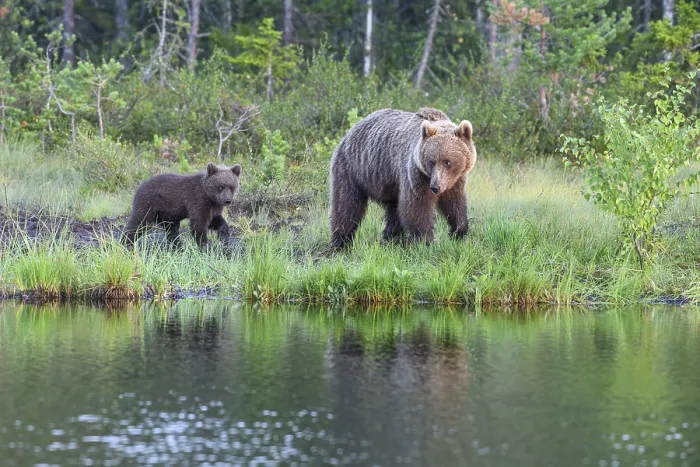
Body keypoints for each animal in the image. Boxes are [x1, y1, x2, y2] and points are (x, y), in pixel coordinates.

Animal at [329, 107, 476, 249]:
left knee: (394, 210)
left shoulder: (455, 181)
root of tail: (348, 134)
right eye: (431, 161)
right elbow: (417, 206)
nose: (435, 187)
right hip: (352, 169)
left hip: (388, 182)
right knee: (346, 206)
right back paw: (341, 242)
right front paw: (427, 241)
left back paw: (391, 238)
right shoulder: (417, 175)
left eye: (447, 162)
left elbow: (454, 203)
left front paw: (459, 232)